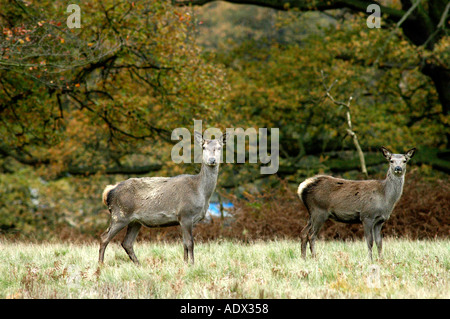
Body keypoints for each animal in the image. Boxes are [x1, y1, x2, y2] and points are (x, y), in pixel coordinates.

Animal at [100, 131, 230, 266]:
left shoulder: (184, 219)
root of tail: (109, 191)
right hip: (119, 215)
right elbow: (190, 243)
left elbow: (184, 243)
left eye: (219, 147)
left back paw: (139, 265)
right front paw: (192, 264)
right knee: (104, 237)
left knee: (127, 243)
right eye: (203, 147)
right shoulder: (185, 214)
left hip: (135, 221)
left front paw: (185, 263)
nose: (212, 160)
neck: (202, 193)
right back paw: (101, 264)